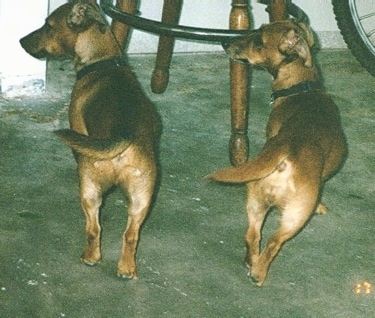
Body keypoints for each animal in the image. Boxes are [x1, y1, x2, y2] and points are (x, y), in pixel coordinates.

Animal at [19, 0, 160, 278]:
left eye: (48, 26)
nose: (20, 40)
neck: (104, 62)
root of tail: (123, 134)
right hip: (142, 197)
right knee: (130, 235)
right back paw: (126, 268)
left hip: (90, 187)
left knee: (94, 228)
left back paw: (90, 257)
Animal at [207, 21, 348, 286]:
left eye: (258, 39)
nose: (224, 41)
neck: (301, 89)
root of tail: (286, 148)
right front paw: (320, 206)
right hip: (296, 216)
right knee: (273, 242)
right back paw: (259, 273)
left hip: (255, 202)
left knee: (252, 236)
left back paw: (251, 263)